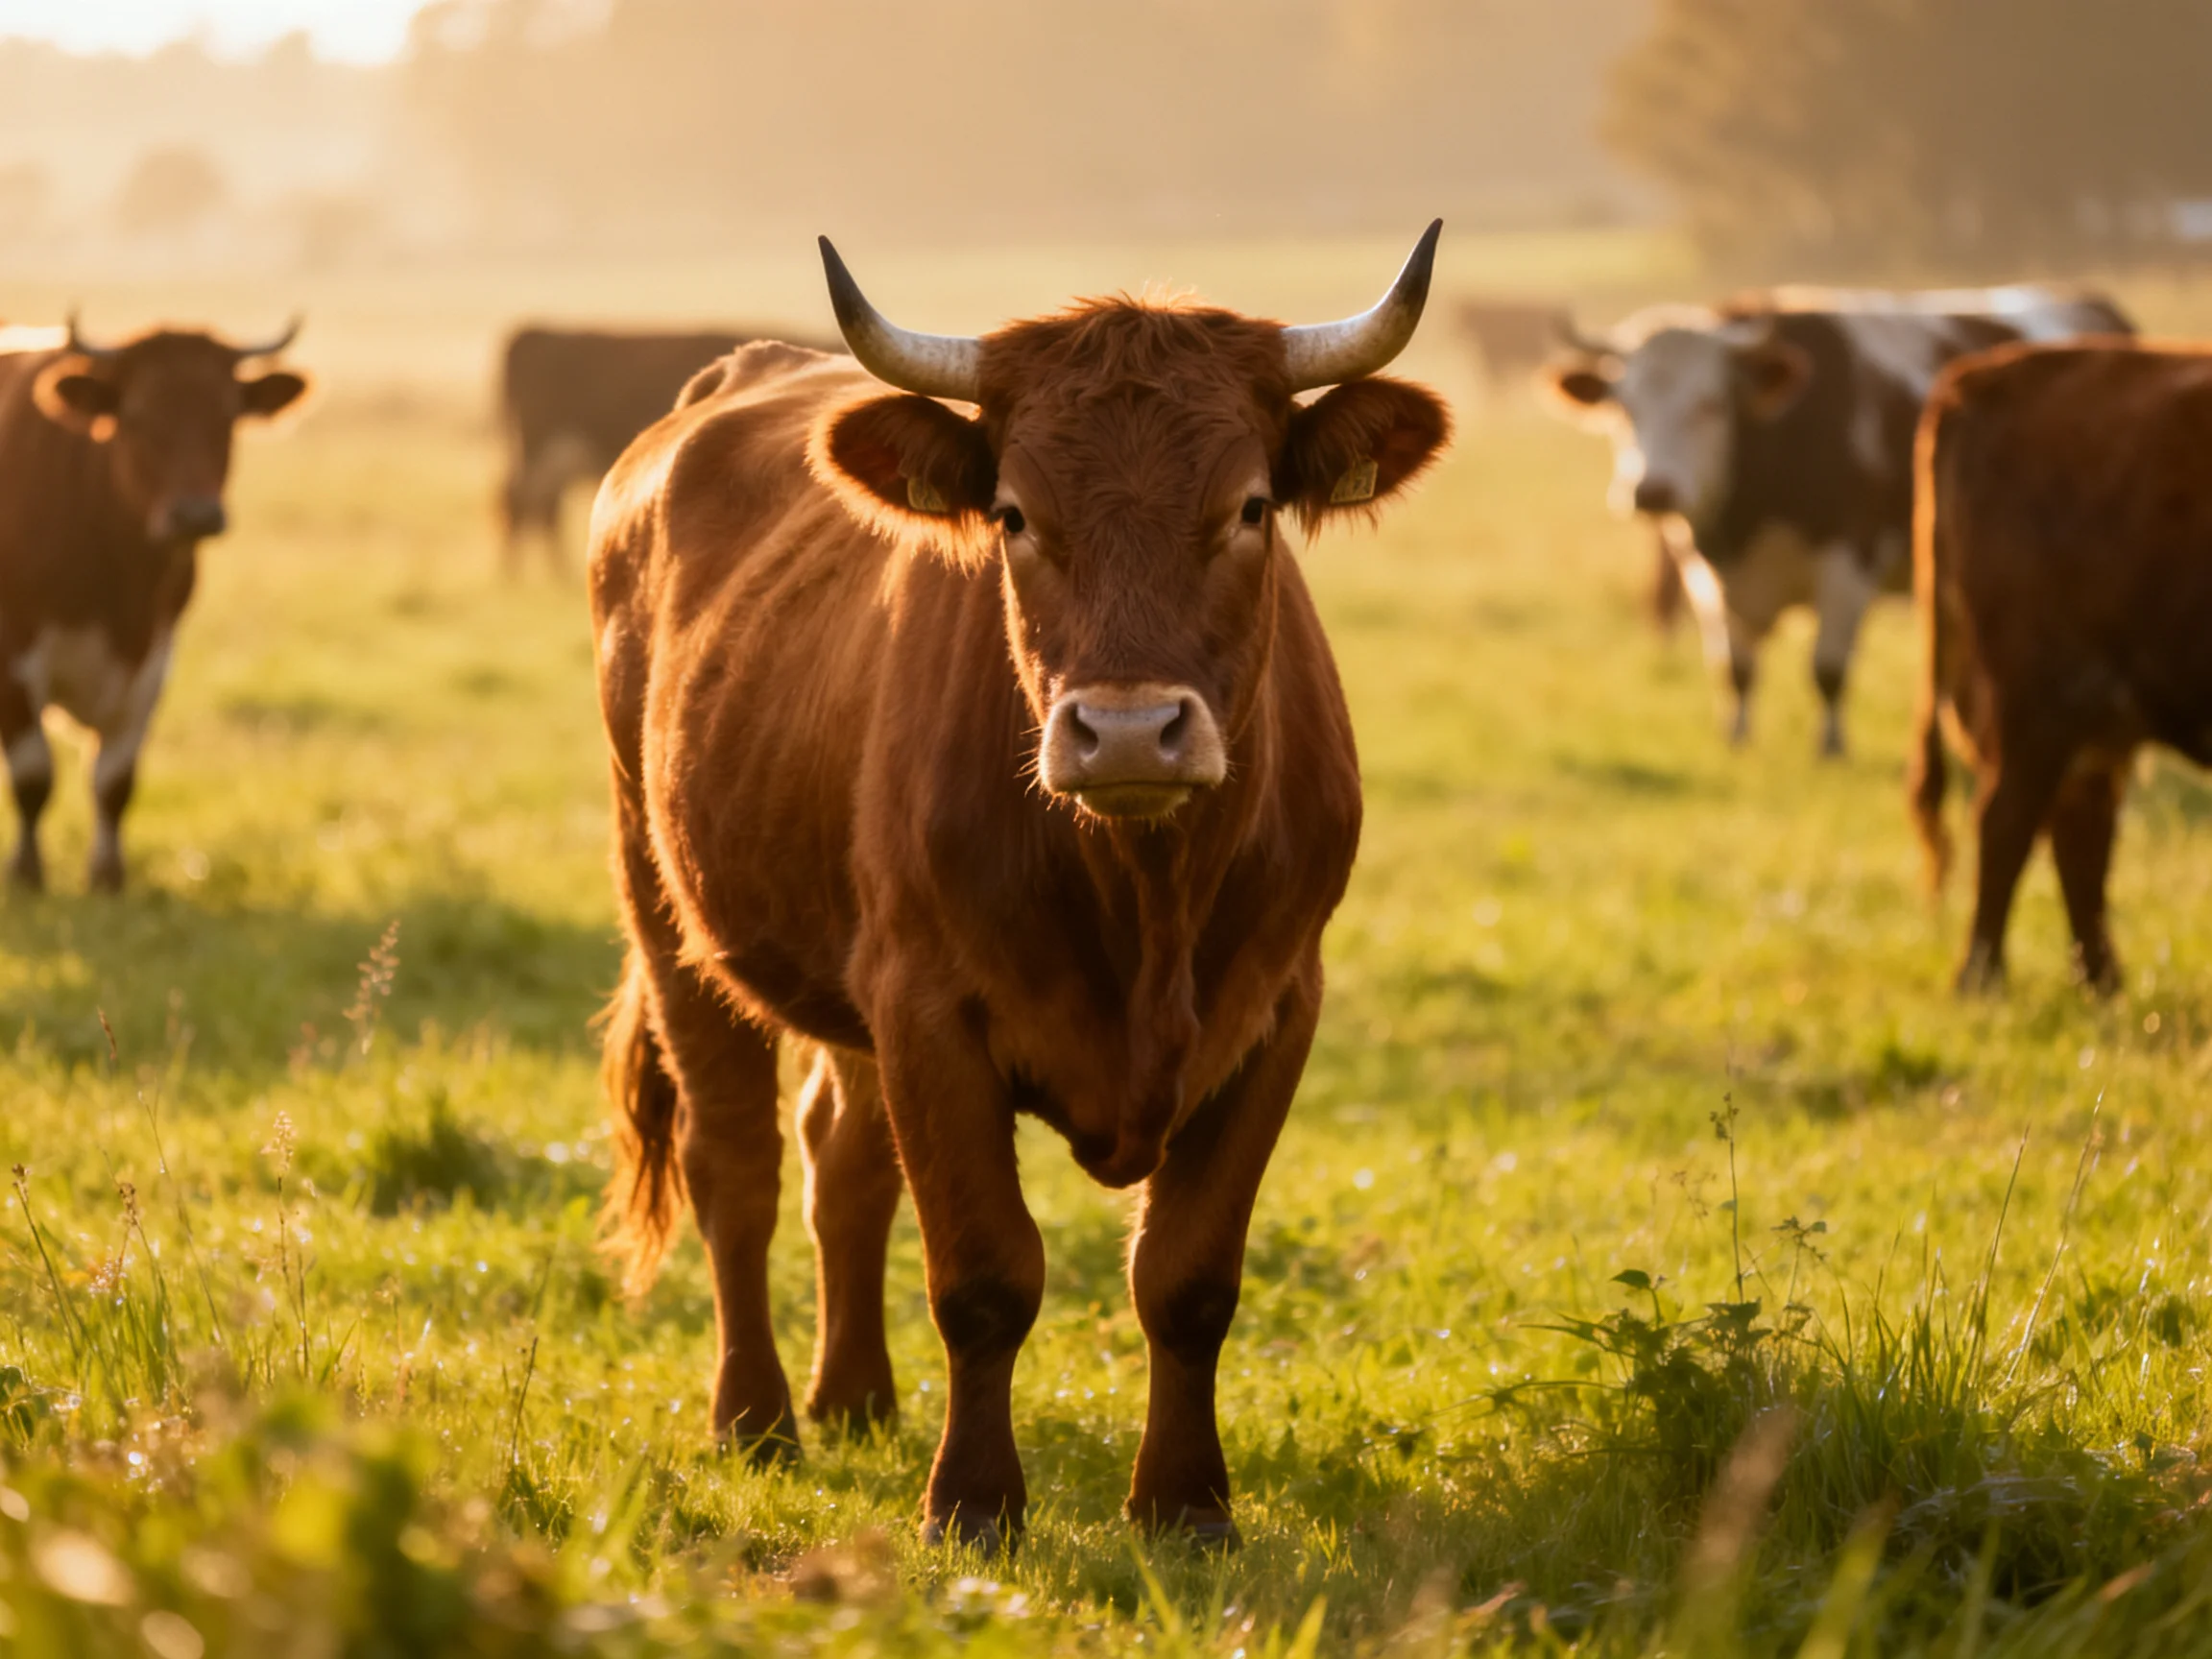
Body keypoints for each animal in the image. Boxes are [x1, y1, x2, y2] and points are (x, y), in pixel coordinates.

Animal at [0, 317, 309, 893]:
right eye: (138, 415)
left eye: (227, 415)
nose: (196, 514)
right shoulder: (13, 655)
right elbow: (33, 775)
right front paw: (27, 874)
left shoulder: (153, 657)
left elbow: (115, 780)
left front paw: (108, 877)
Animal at [589, 226, 1451, 1549]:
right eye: (1013, 514)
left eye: (1250, 506)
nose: (1131, 731)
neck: (1144, 897)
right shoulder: (930, 1008)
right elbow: (985, 1274)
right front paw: (975, 1505)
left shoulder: (1276, 1010)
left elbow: (1188, 1277)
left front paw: (1185, 1507)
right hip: (668, 901)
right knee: (734, 1162)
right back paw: (759, 1419)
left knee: (842, 1160)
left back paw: (856, 1401)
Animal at [1541, 287, 2133, 755]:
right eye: (1623, 407)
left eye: (1711, 404)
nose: (1652, 490)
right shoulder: (1707, 571)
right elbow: (1735, 669)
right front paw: (1738, 740)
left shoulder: (1849, 561)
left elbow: (1827, 668)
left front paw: (1830, 748)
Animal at [1910, 341, 2212, 994]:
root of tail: (1982, 375)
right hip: (2037, 698)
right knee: (2008, 822)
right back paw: (1983, 978)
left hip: (2093, 717)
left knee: (2077, 831)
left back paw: (2101, 980)